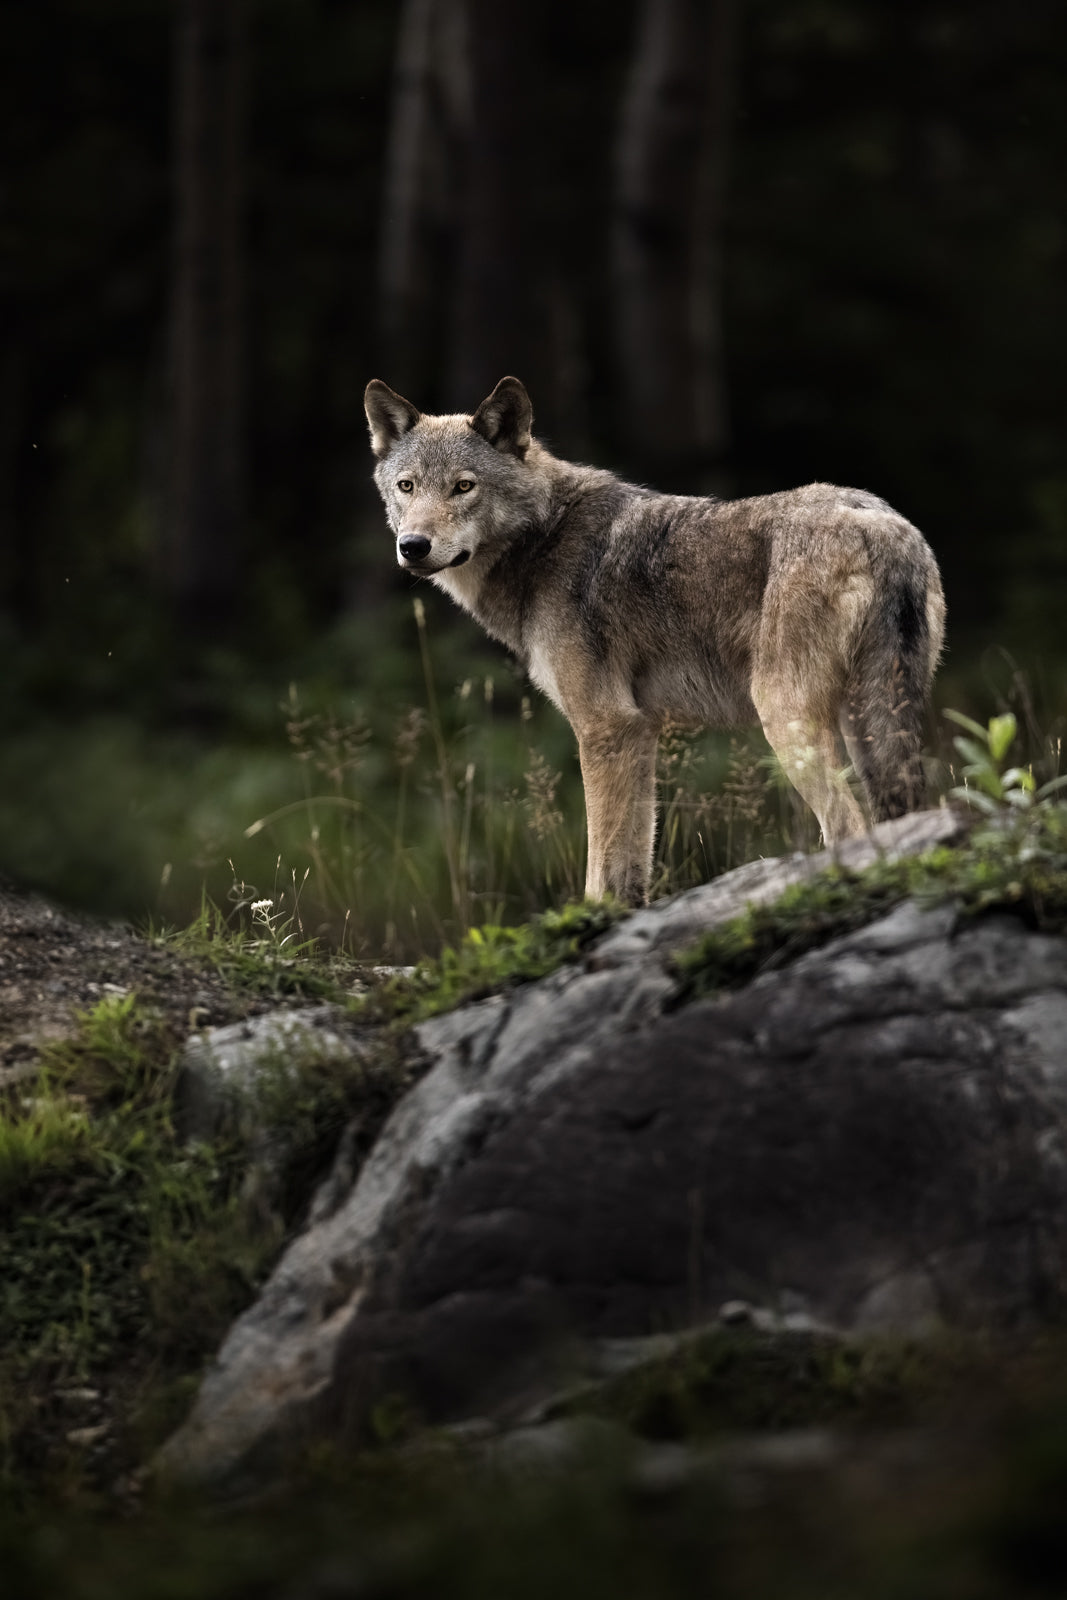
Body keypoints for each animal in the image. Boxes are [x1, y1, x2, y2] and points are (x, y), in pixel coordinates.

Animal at [365, 375, 945, 904]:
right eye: (407, 487)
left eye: (463, 487)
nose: (413, 546)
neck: (543, 538)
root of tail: (883, 526)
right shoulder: (638, 733)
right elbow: (631, 866)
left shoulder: (605, 727)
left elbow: (598, 867)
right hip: (873, 727)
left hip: (785, 720)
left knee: (848, 825)